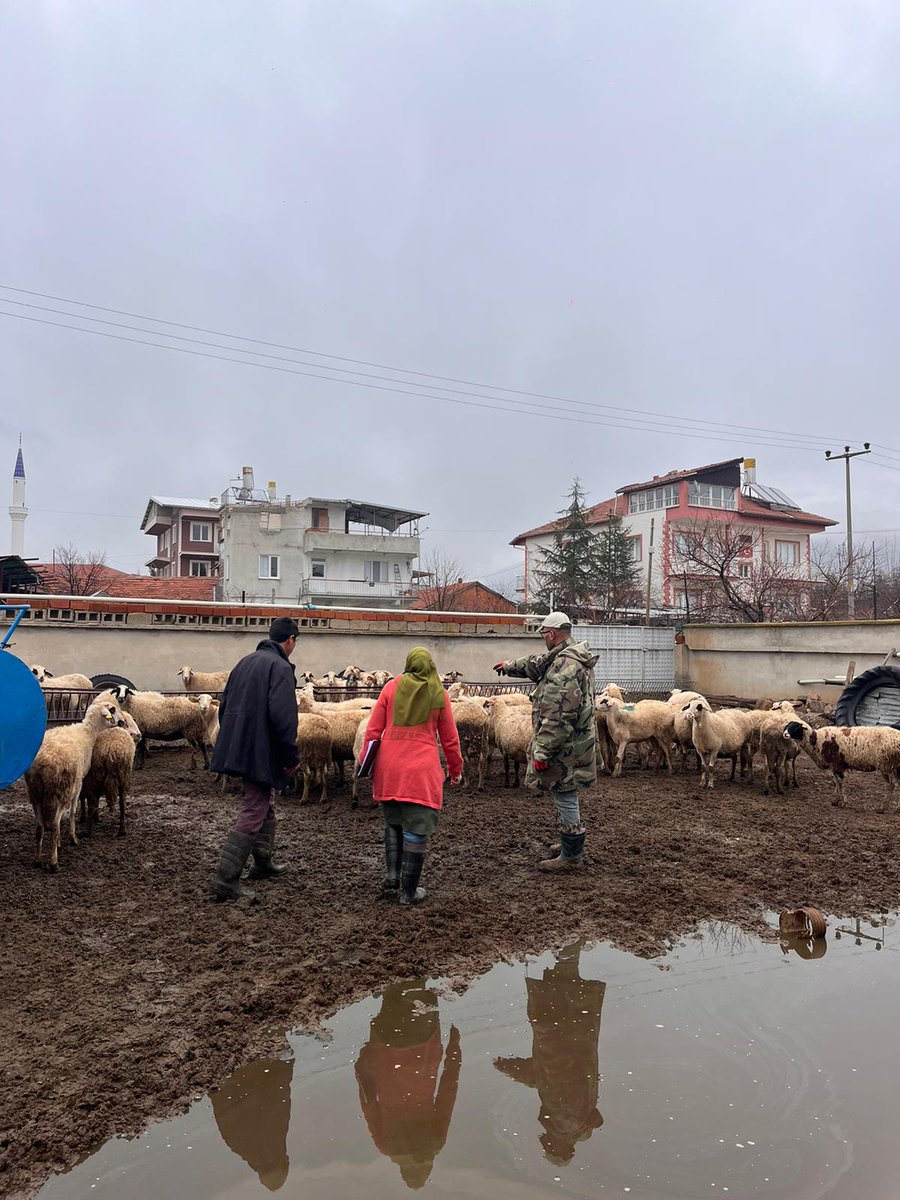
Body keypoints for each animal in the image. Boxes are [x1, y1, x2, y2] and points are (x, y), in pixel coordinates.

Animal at [25, 696, 128, 873]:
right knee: (54, 824)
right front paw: (72, 838)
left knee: (39, 826)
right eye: (112, 710)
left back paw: (38, 860)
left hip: (35, 793)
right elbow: (73, 811)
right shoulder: (78, 783)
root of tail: (42, 763)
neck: (88, 732)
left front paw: (60, 843)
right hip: (61, 791)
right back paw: (54, 863)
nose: (123, 722)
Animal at [81, 705, 142, 840]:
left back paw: (87, 830)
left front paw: (89, 818)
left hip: (96, 777)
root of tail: (111, 750)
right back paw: (121, 830)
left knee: (93, 803)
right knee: (122, 804)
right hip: (122, 776)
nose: (138, 735)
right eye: (126, 722)